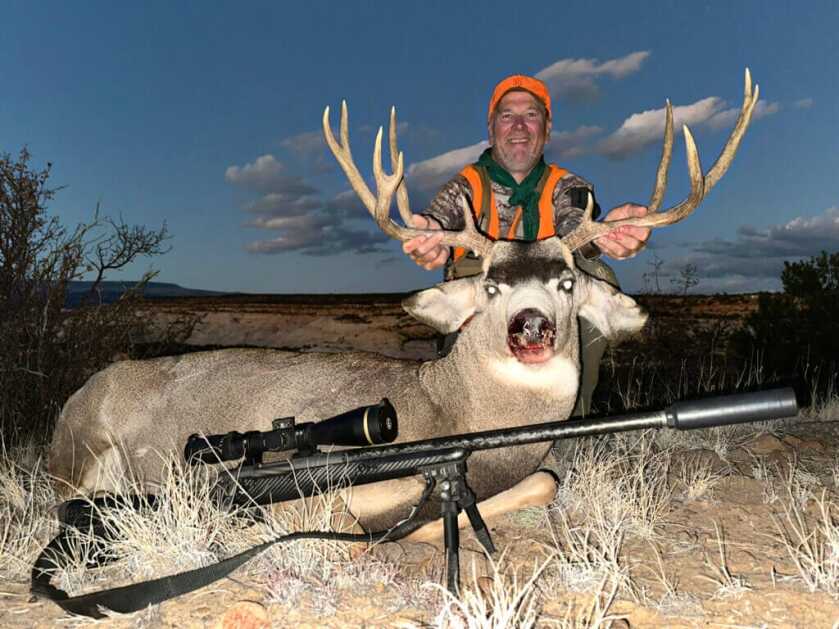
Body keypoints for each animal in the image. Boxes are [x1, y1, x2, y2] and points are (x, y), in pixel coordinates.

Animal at [48, 70, 758, 542]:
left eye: (564, 282)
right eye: (492, 286)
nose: (530, 327)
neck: (455, 409)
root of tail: (81, 391)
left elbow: (539, 482)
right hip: (77, 454)